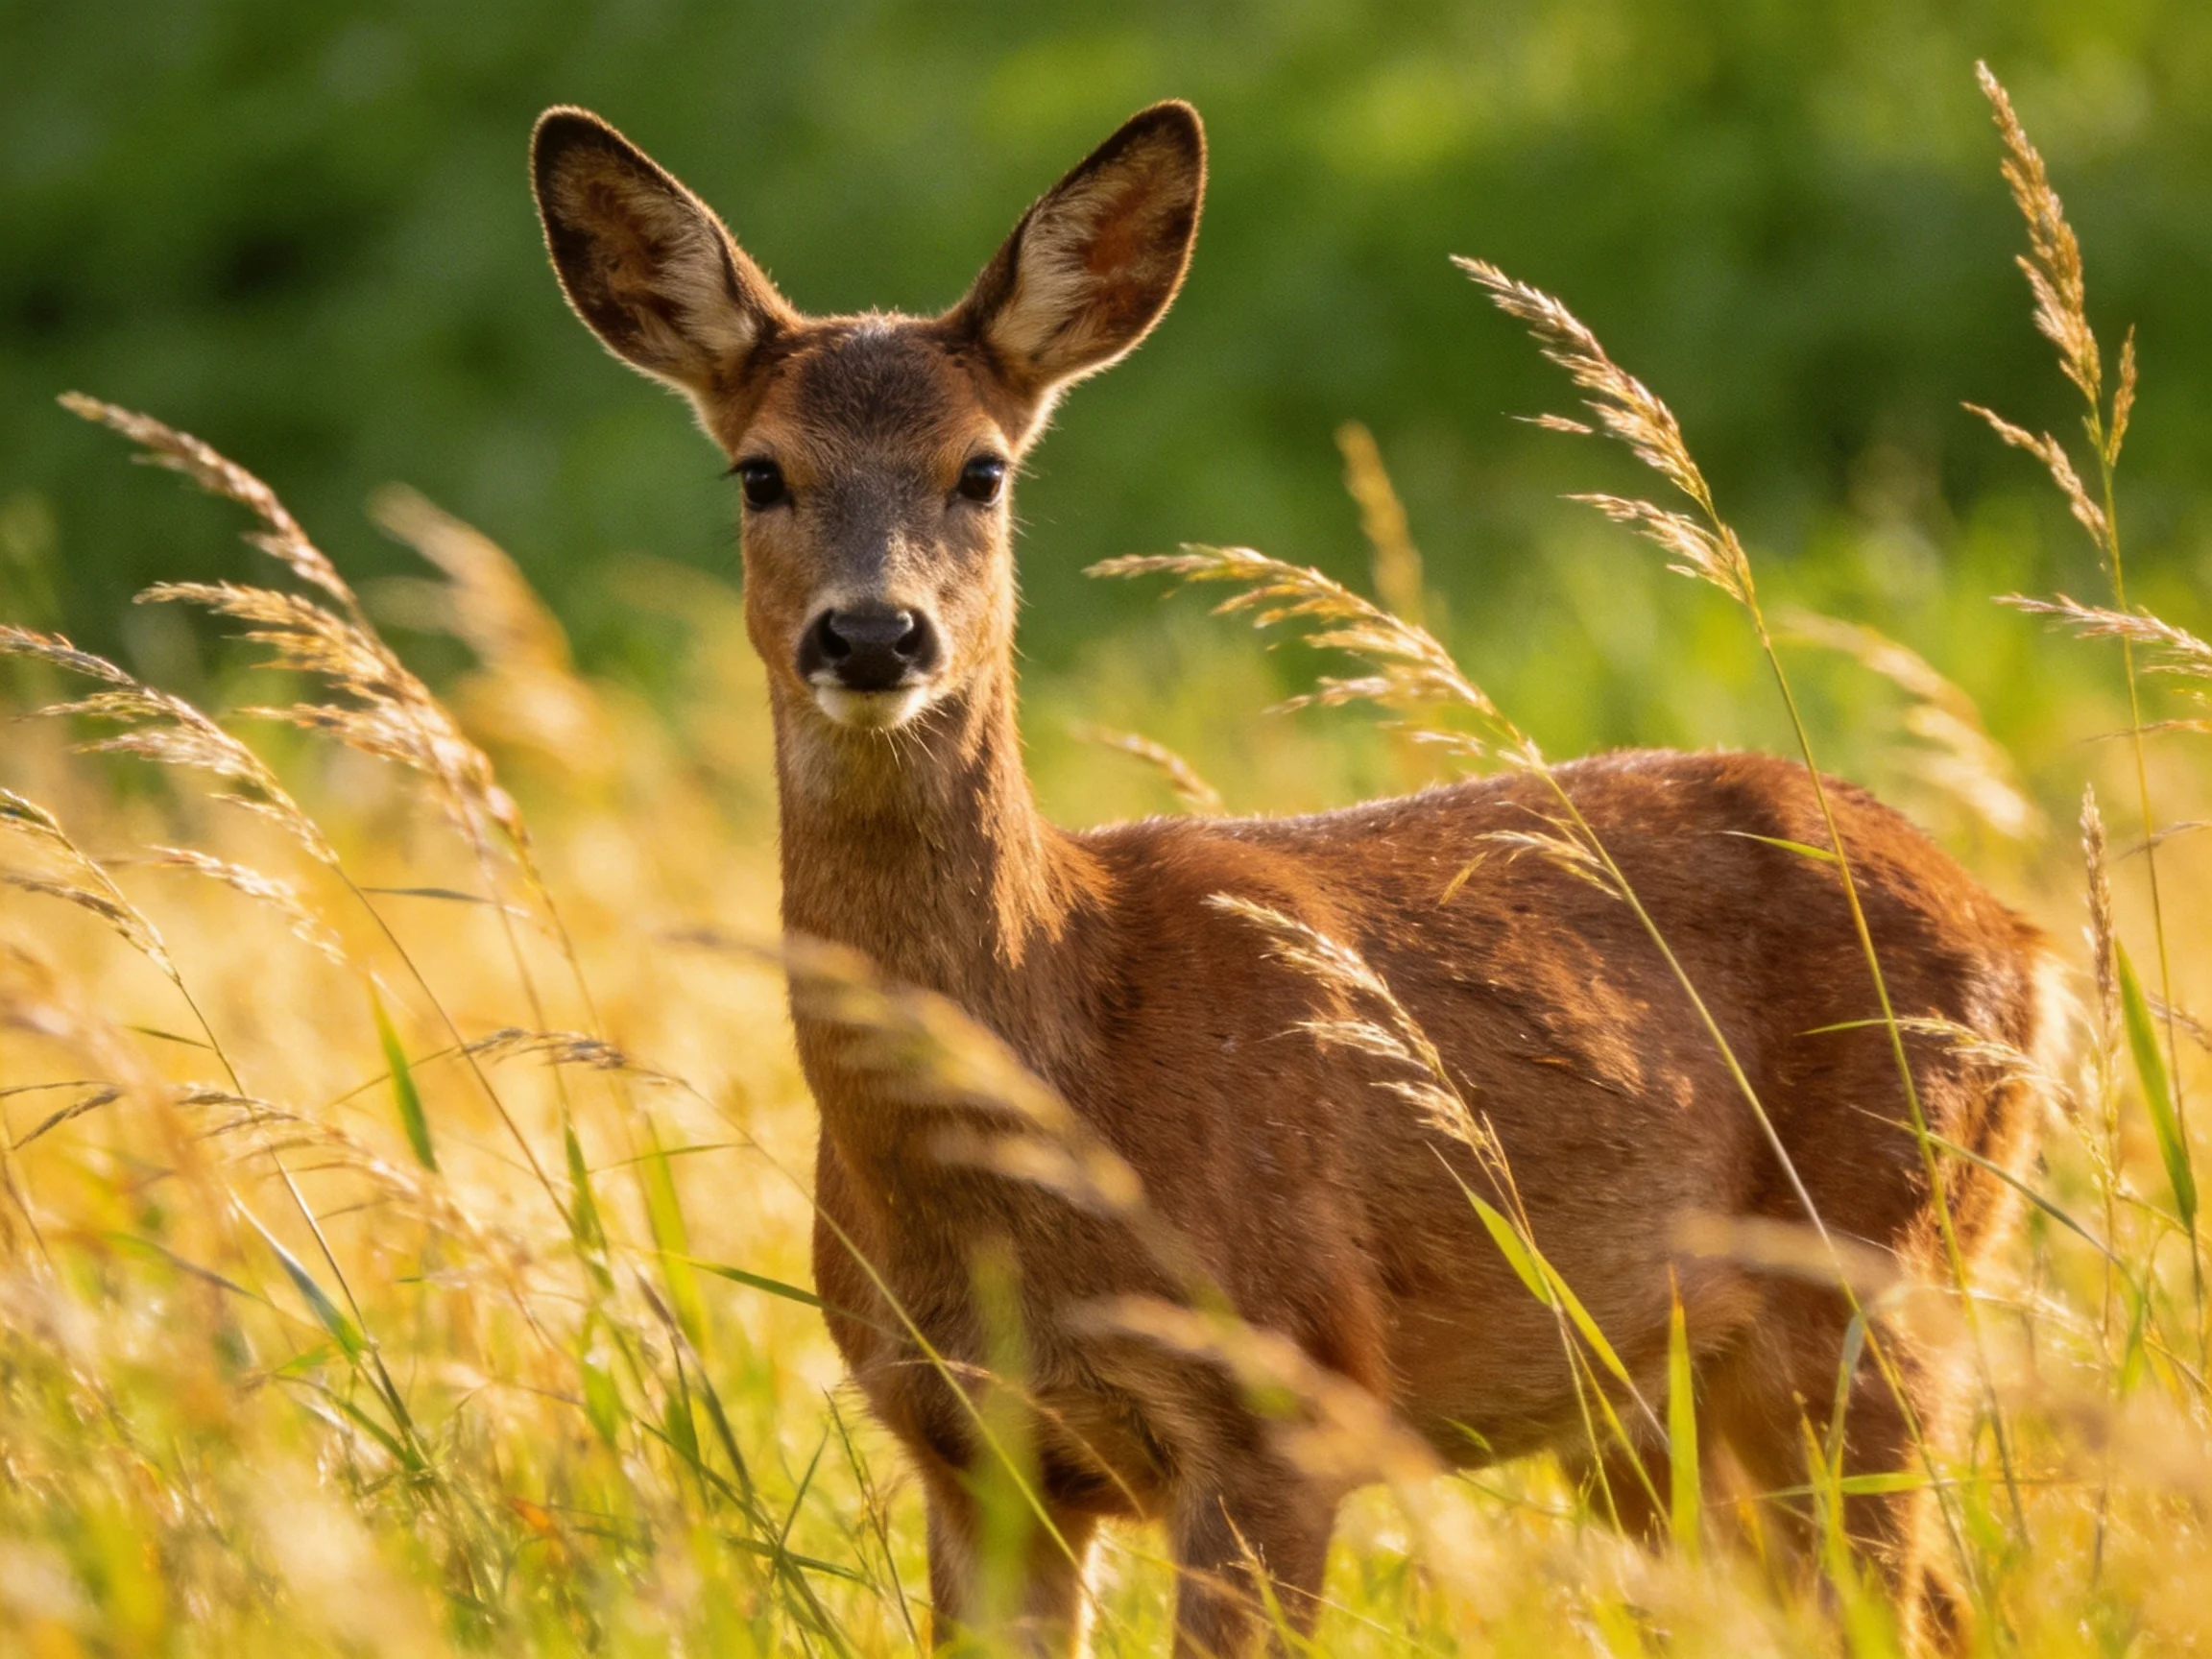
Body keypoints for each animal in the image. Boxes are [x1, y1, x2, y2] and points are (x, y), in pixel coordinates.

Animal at [531, 100, 2056, 1656]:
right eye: (761, 472)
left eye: (982, 470)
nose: (874, 634)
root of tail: (2018, 929)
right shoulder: (966, 1451)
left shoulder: (1289, 1401)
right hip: (1659, 1394)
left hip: (1880, 1270)